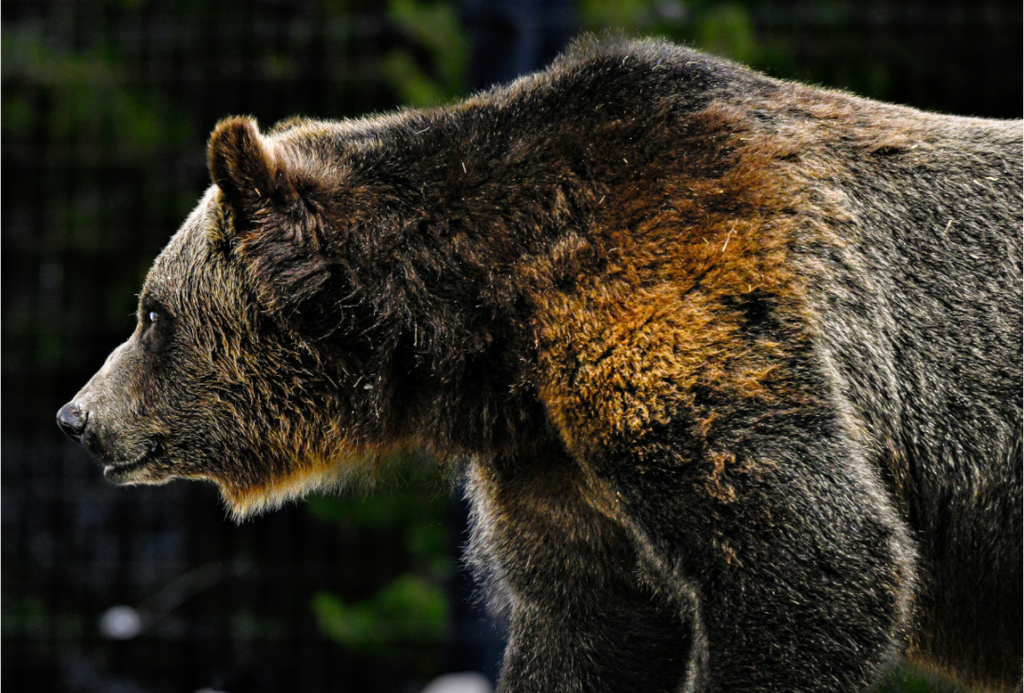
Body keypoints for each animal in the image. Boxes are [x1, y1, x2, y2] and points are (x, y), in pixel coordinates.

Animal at [56, 36, 1024, 692]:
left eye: (152, 314)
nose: (77, 415)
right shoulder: (553, 459)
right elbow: (584, 620)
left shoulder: (679, 312)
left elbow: (815, 559)